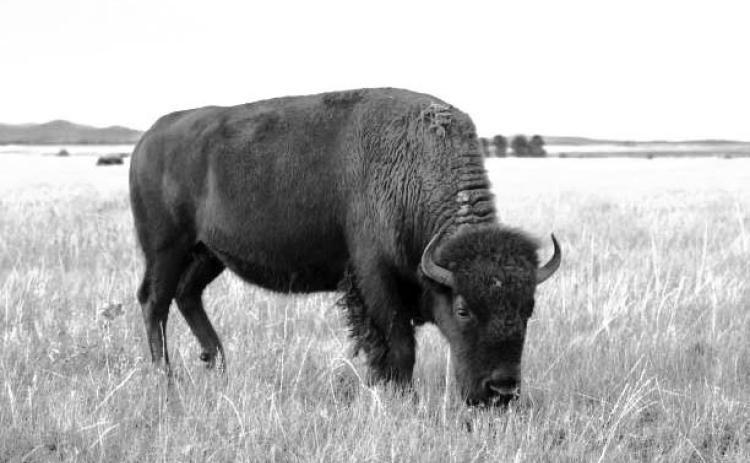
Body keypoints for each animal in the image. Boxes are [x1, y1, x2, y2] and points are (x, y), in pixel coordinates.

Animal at [129, 88, 561, 406]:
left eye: (528, 309)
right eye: (463, 309)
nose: (501, 391)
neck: (413, 166)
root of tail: (148, 138)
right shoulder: (375, 279)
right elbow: (398, 347)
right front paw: (400, 397)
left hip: (206, 254)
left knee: (187, 295)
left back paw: (216, 364)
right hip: (166, 249)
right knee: (155, 301)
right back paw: (165, 378)